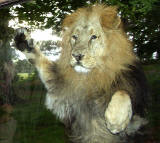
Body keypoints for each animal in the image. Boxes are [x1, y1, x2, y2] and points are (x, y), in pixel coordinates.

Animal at [14, 3, 150, 142]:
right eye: (75, 37)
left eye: (93, 37)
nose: (77, 56)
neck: (91, 76)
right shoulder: (62, 88)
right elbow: (42, 62)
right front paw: (24, 41)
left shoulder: (136, 120)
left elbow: (122, 92)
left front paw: (115, 121)